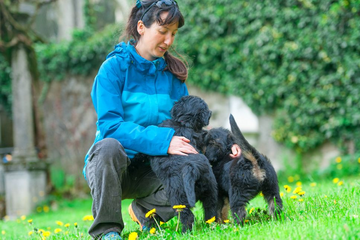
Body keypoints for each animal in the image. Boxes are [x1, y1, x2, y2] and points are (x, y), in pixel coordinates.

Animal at [148, 95, 217, 232]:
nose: (211, 112)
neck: (184, 123)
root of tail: (191, 168)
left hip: (177, 197)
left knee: (186, 215)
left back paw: (185, 232)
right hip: (210, 187)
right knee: (211, 208)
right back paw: (211, 224)